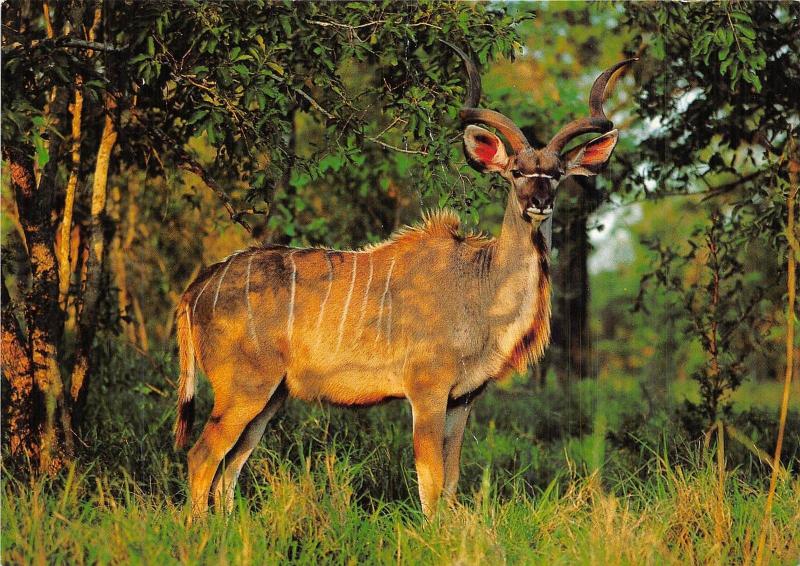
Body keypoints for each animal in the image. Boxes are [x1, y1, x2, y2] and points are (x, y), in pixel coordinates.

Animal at [177, 47, 636, 520]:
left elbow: (451, 480)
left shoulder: (462, 400)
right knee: (202, 456)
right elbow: (430, 483)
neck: (479, 286)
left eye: (557, 174)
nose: (539, 203)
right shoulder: (426, 391)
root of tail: (195, 290)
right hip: (244, 389)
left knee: (230, 467)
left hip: (270, 397)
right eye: (515, 172)